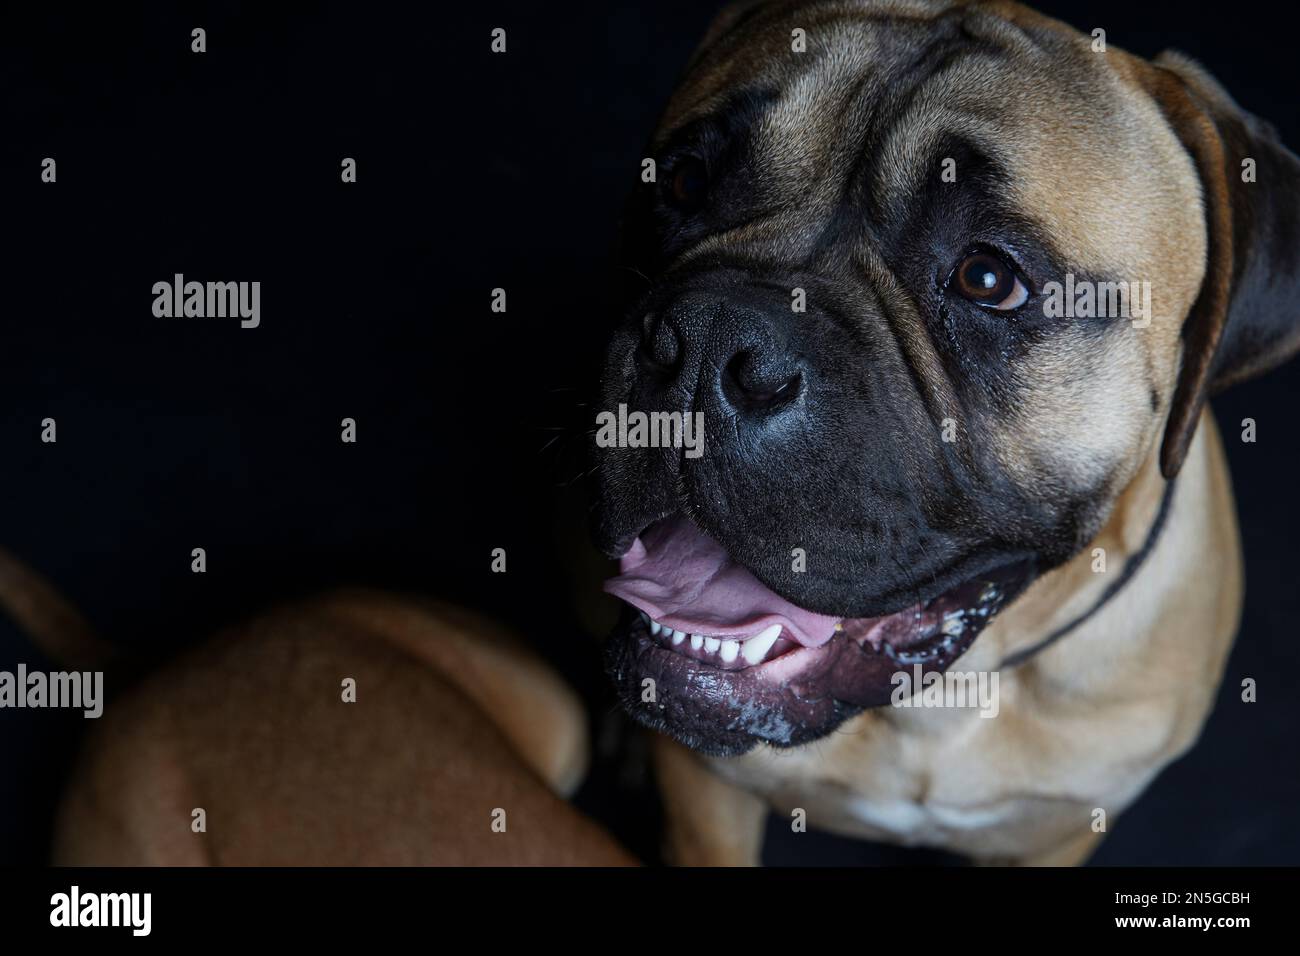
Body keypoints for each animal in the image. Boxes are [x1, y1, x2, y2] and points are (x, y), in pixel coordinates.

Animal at [595, 0, 1294, 868]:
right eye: (685, 182)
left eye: (988, 279)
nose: (704, 341)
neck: (938, 704)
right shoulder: (706, 803)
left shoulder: (1055, 834)